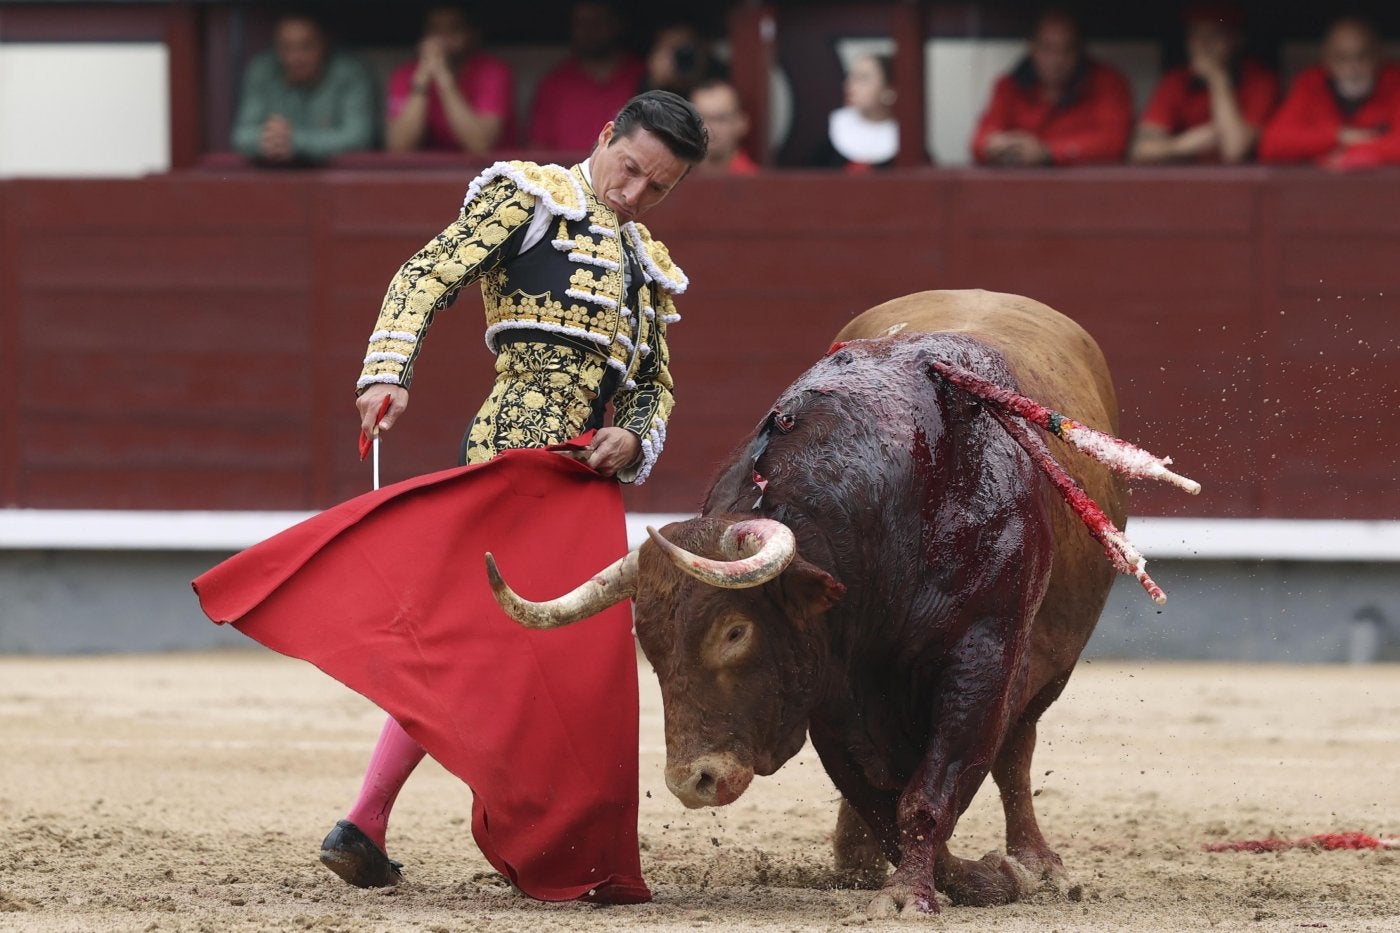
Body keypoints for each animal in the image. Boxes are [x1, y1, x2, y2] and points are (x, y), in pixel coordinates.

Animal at [487, 287, 1198, 913]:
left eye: (735, 632)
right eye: (649, 644)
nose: (694, 782)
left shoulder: (983, 661)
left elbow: (933, 790)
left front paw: (926, 894)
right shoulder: (827, 685)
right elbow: (879, 798)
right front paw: (964, 878)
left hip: (1051, 663)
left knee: (1015, 755)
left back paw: (1036, 863)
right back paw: (857, 861)